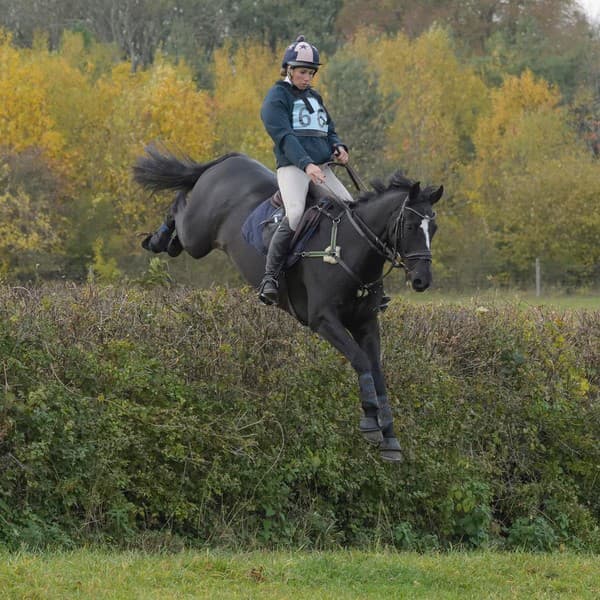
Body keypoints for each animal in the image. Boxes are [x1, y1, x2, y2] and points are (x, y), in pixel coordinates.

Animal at [134, 146, 442, 464]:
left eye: (434, 227)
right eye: (410, 226)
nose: (422, 280)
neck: (350, 248)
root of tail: (231, 159)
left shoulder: (366, 323)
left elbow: (377, 372)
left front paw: (389, 438)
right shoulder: (323, 320)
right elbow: (360, 360)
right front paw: (370, 423)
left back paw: (165, 241)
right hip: (198, 237)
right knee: (179, 205)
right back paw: (158, 238)